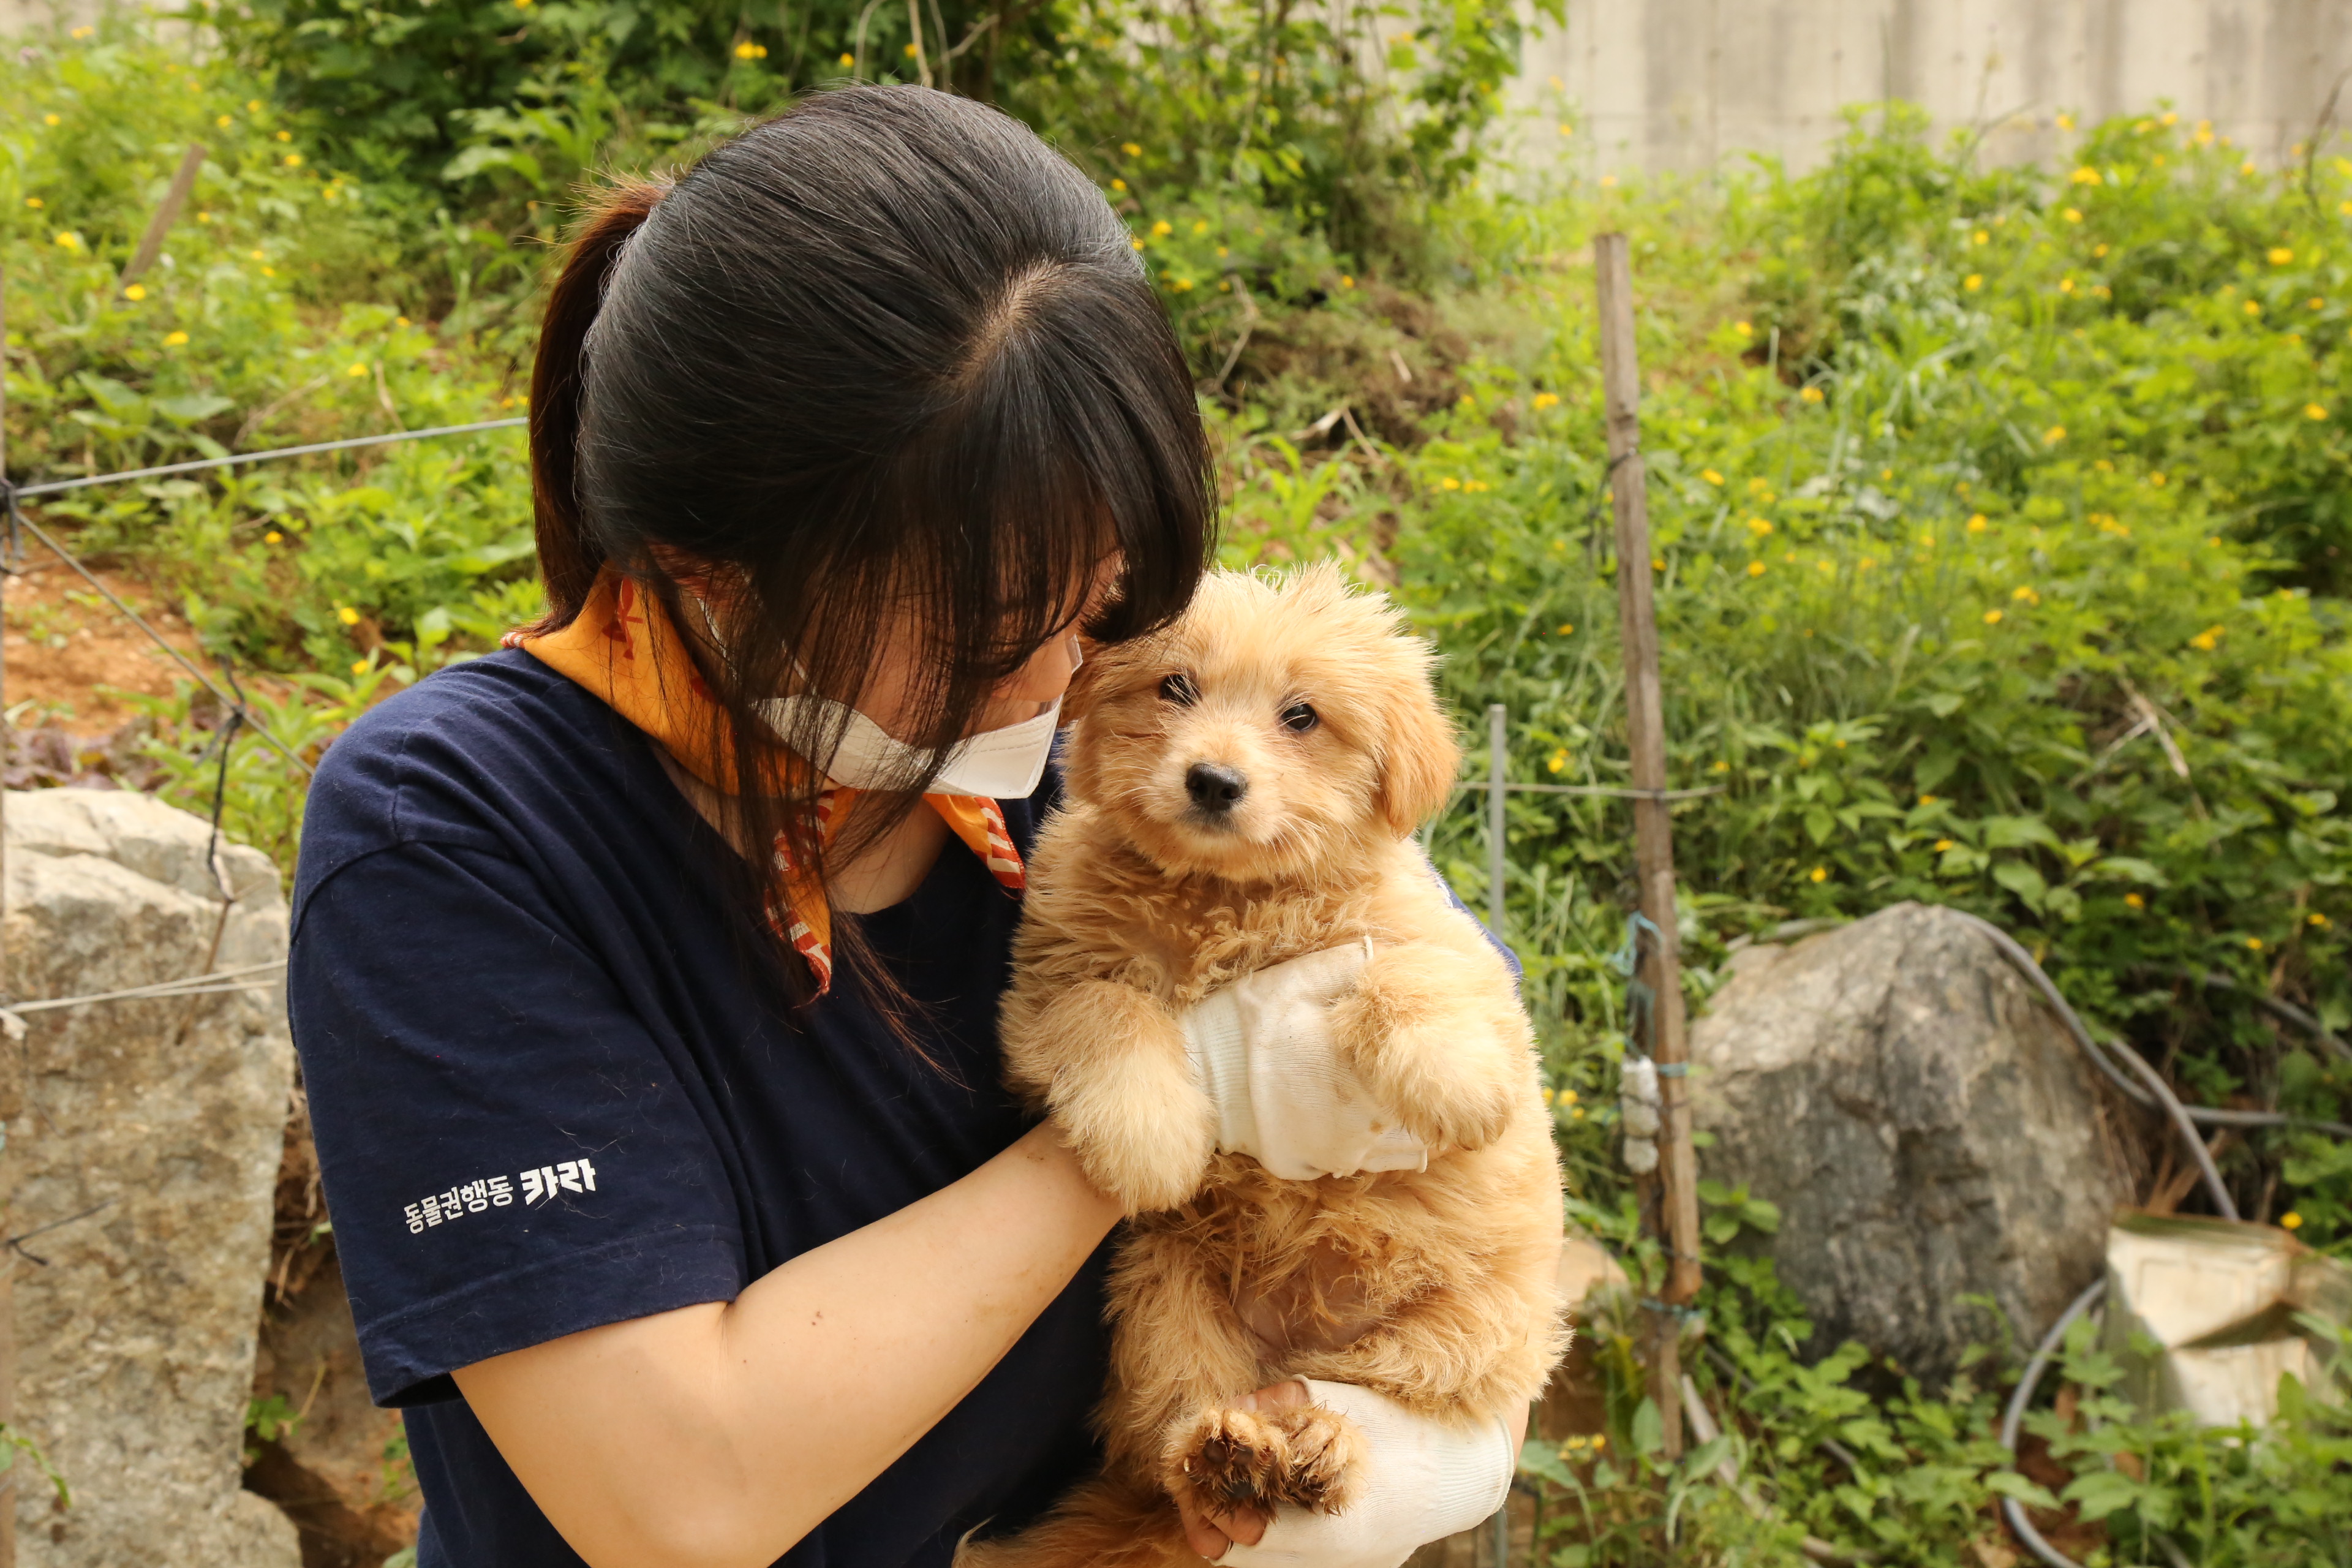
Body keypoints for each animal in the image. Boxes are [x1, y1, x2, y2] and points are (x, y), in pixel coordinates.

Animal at [964, 566, 1571, 1568]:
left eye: (1302, 715)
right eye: (1175, 687)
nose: (1214, 780)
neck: (1228, 898)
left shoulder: (1440, 940)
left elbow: (1405, 974)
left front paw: (1460, 1082)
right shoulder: (1046, 989)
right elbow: (1113, 1009)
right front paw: (1152, 1138)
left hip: (1471, 1336)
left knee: (1371, 1391)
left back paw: (1318, 1443)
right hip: (1164, 1294)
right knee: (1172, 1433)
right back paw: (1232, 1457)